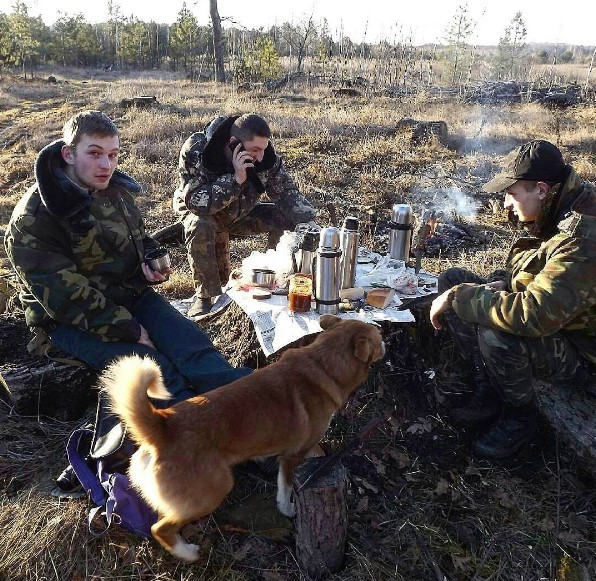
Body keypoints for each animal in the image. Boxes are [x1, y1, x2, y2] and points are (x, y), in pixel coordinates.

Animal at [103, 314, 386, 560]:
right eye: (379, 336)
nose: (384, 338)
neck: (323, 365)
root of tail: (163, 425)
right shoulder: (292, 456)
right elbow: (286, 487)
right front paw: (287, 509)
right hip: (213, 490)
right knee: (160, 529)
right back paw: (188, 553)